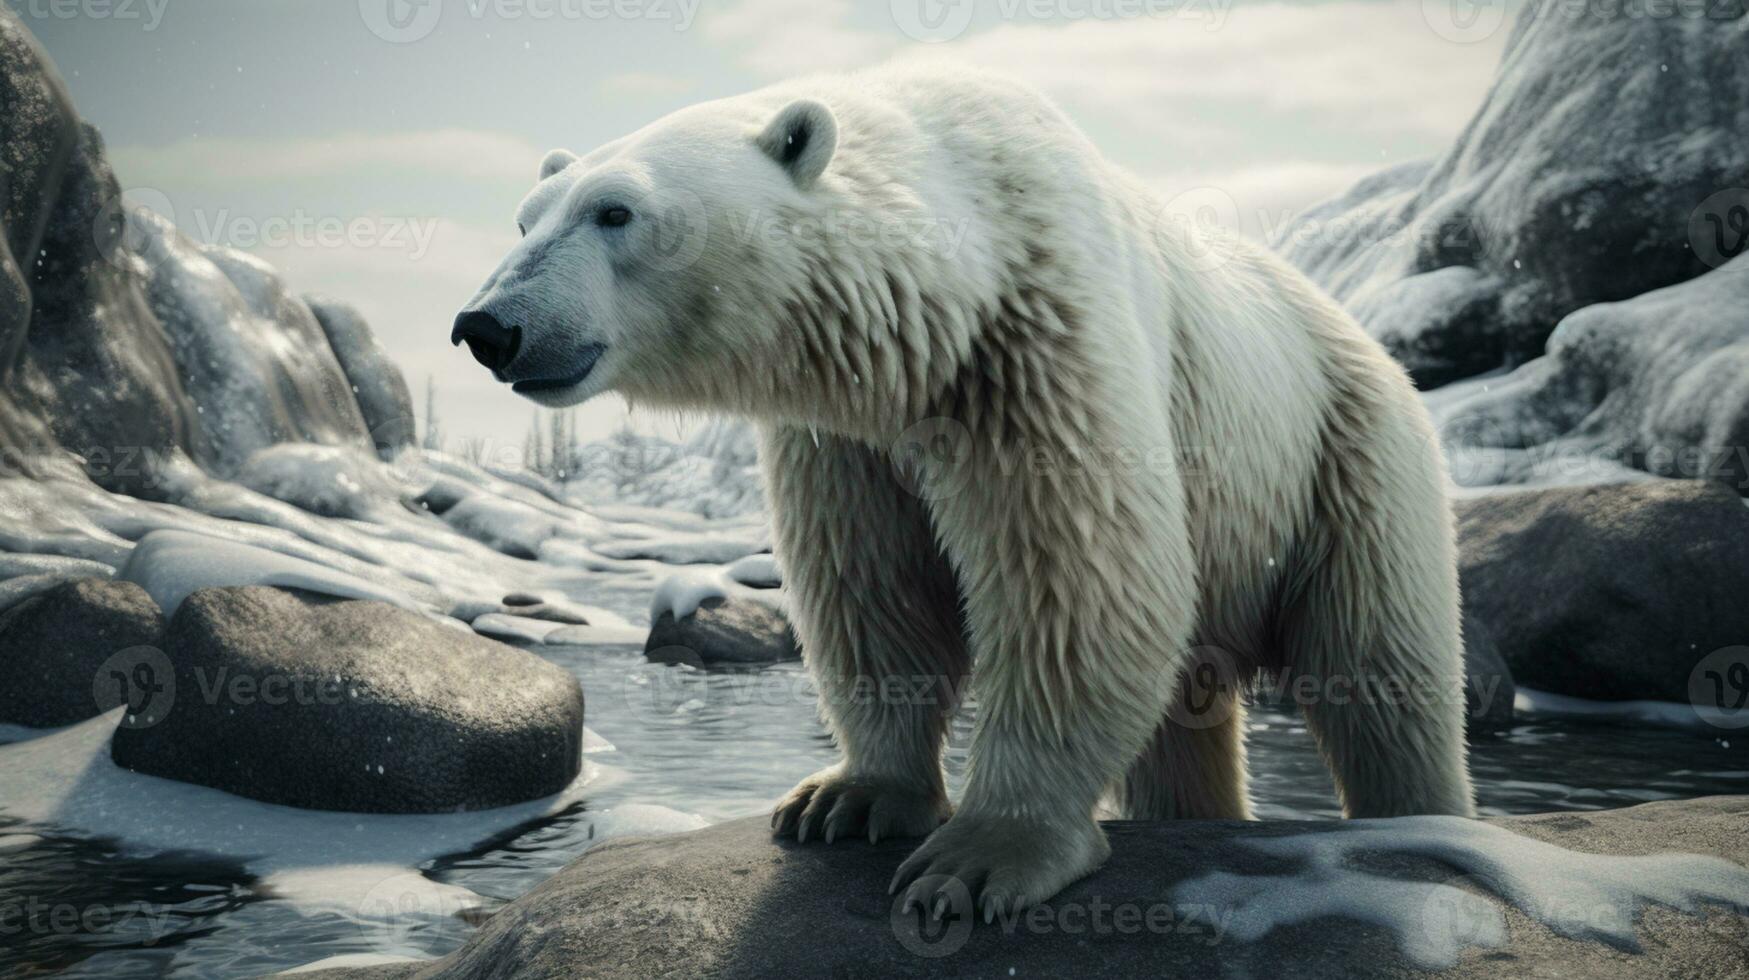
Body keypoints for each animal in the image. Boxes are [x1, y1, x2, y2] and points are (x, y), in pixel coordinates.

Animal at [454, 65, 1476, 917]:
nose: (486, 326)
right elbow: (872, 589)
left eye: (615, 211)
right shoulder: (849, 434)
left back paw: (1422, 820)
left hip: (1341, 455)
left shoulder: (1035, 349)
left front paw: (979, 860)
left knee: (1382, 675)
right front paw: (844, 800)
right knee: (1191, 702)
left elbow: (1078, 584)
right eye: (526, 216)